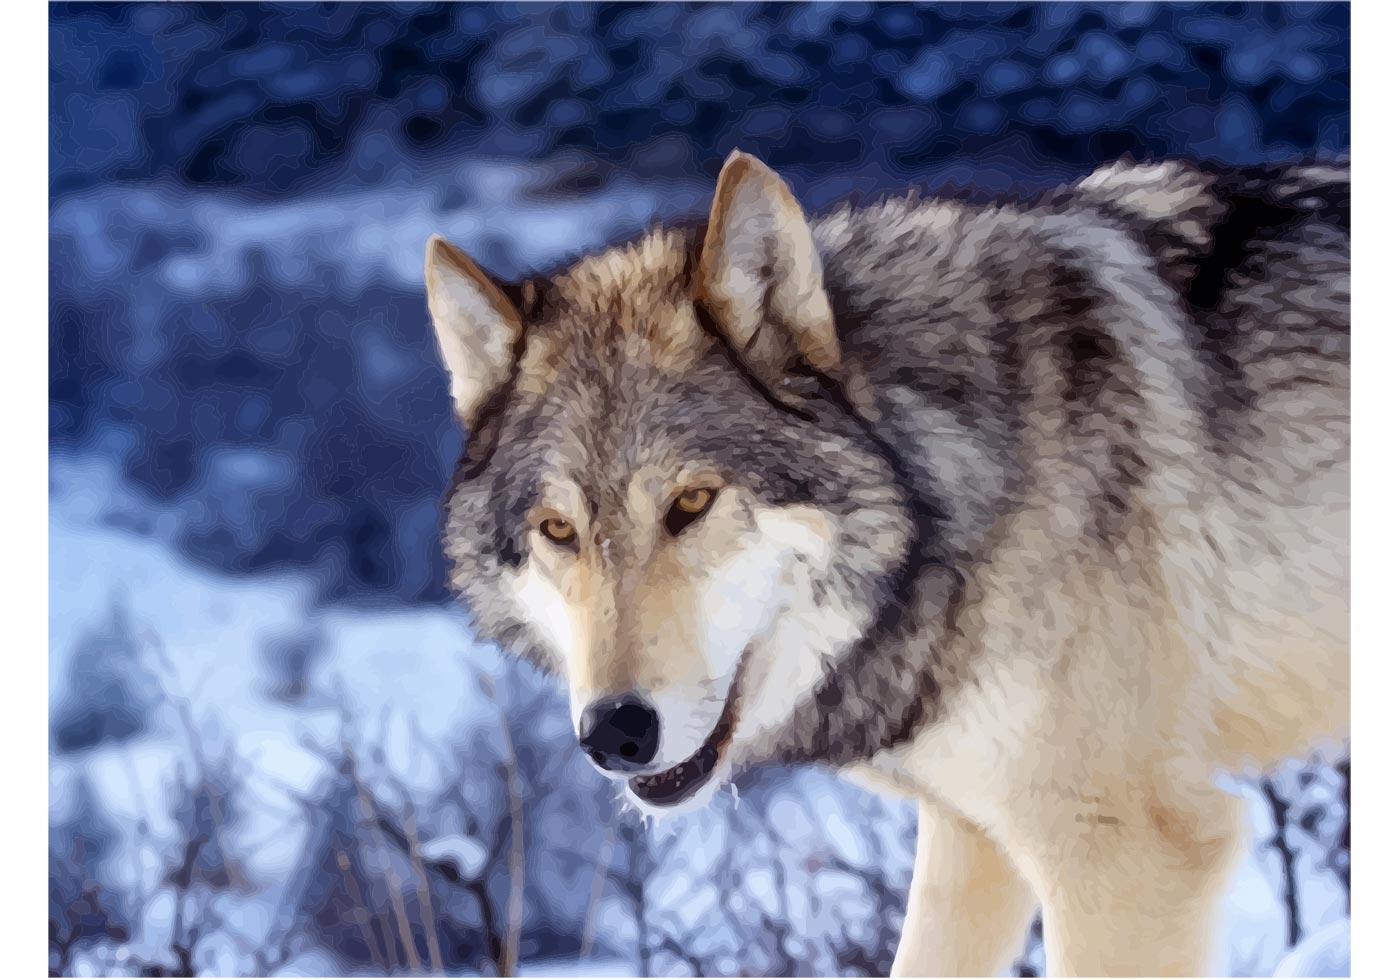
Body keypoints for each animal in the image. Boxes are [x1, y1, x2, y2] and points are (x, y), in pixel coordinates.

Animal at [422, 150, 1349, 977]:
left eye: (690, 503)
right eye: (558, 529)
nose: (614, 731)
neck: (956, 489)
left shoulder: (1126, 856)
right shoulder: (972, 839)